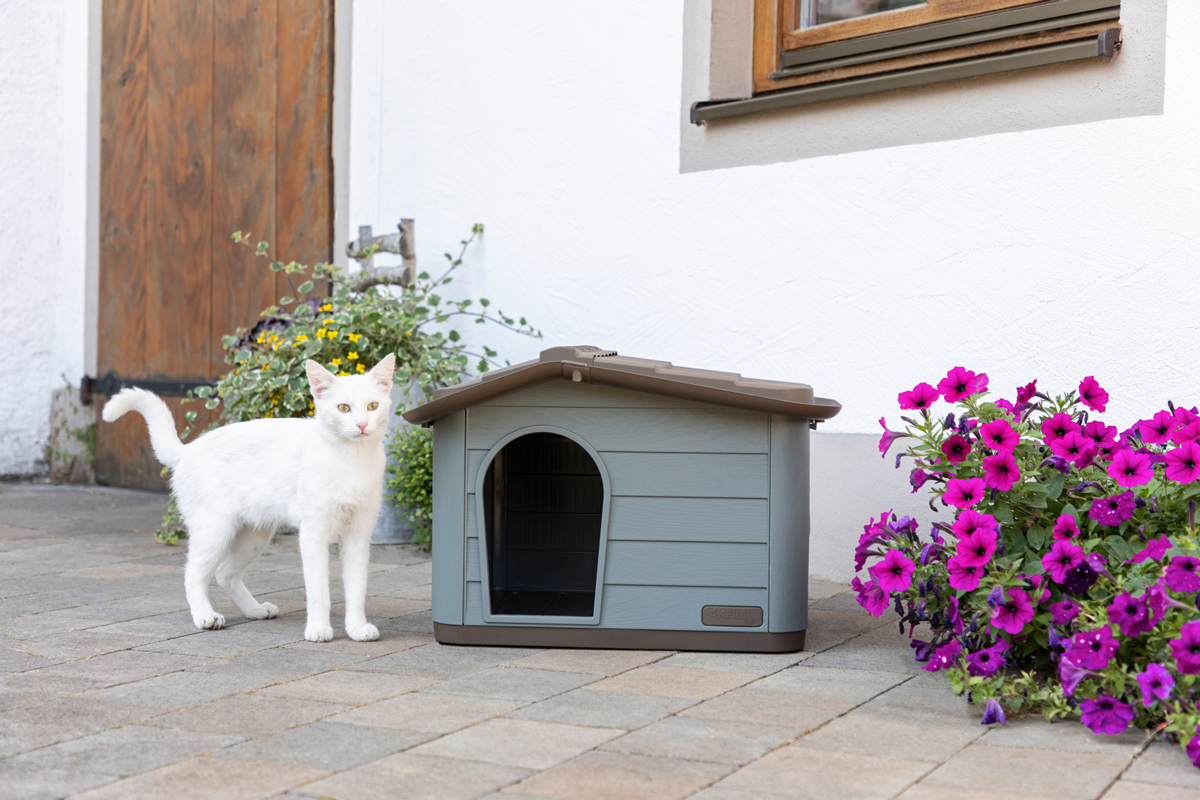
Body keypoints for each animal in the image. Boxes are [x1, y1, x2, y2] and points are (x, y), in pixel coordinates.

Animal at [103, 352, 393, 642]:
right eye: (343, 408)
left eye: (372, 406)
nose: (362, 424)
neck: (351, 460)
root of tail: (188, 449)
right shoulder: (314, 534)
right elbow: (319, 590)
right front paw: (319, 628)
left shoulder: (358, 536)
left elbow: (357, 588)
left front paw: (356, 628)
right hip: (215, 530)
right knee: (193, 574)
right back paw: (205, 616)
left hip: (254, 534)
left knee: (225, 574)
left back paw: (255, 610)